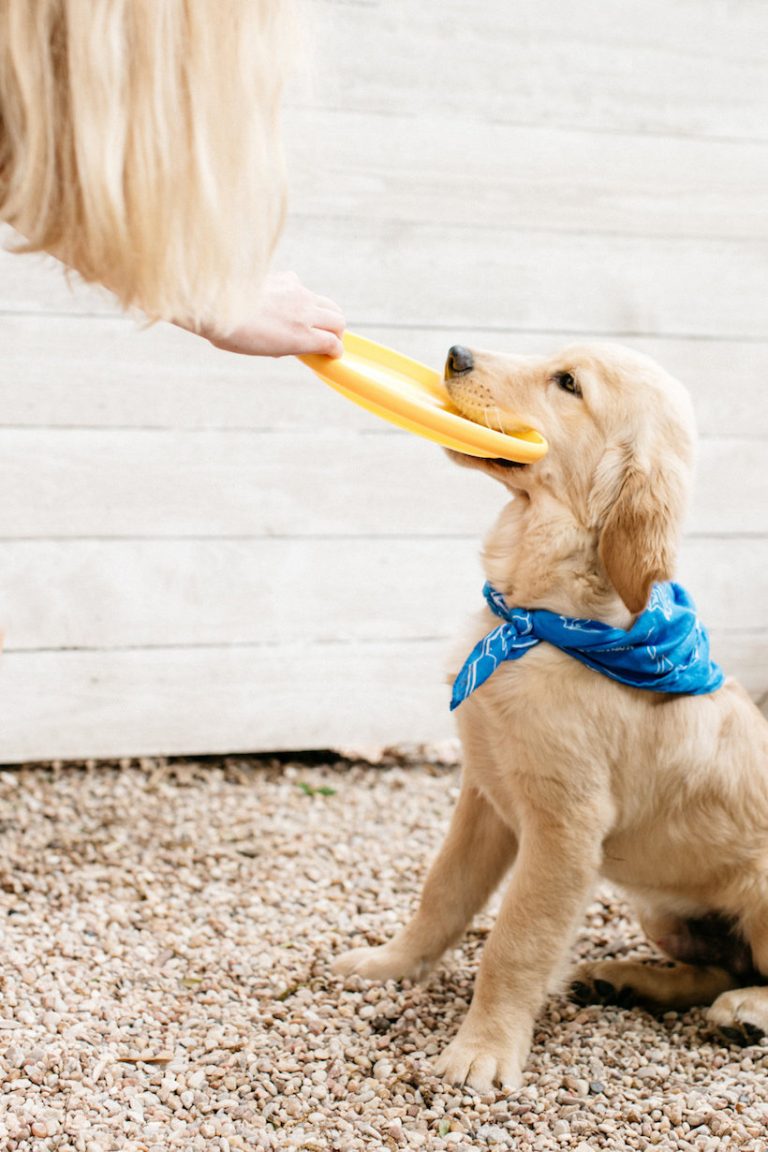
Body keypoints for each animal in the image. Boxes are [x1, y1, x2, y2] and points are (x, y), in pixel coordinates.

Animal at [333, 340, 768, 1087]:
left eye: (568, 384)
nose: (455, 353)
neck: (537, 619)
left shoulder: (565, 828)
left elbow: (516, 942)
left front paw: (482, 1051)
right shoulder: (483, 794)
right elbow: (442, 892)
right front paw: (391, 963)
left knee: (756, 974)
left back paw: (746, 1011)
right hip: (661, 908)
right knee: (716, 966)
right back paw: (626, 980)